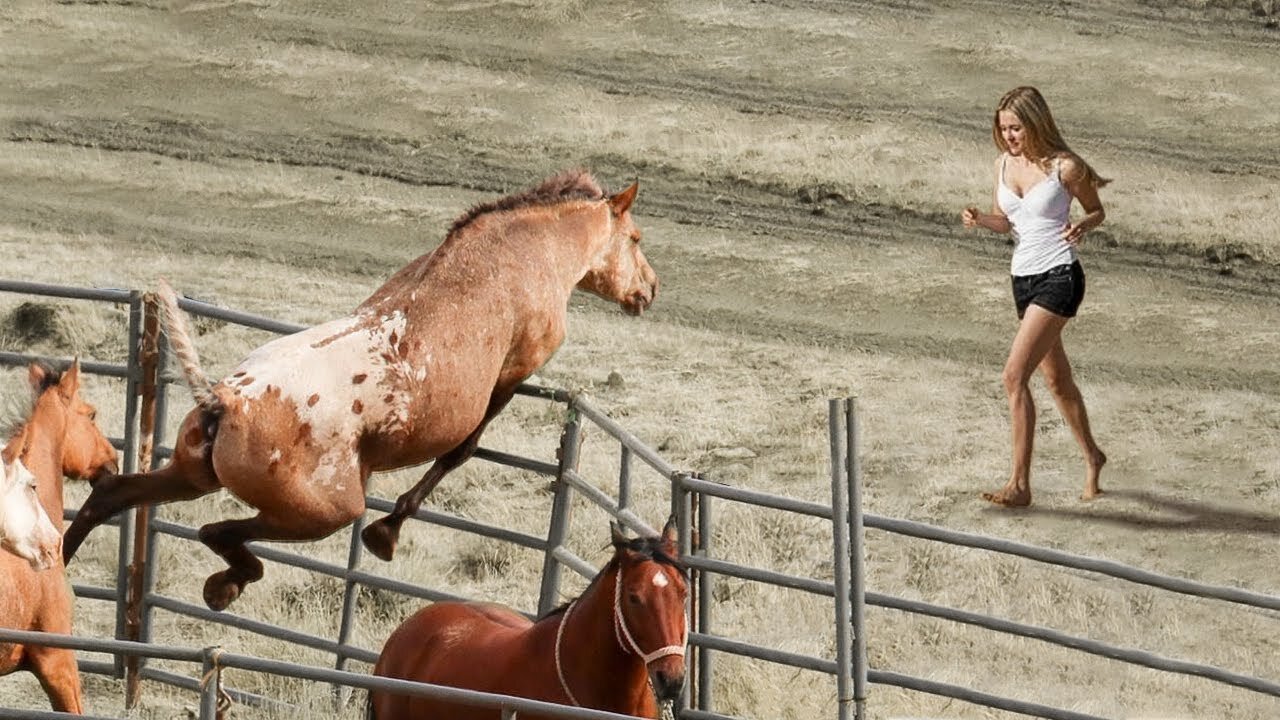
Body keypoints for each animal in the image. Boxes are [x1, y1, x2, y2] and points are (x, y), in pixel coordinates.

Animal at [62, 169, 660, 609]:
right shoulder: (515, 372)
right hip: (325, 510)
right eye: (634, 239)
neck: (520, 253)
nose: (650, 289)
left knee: (112, 496)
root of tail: (225, 401)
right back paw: (225, 584)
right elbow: (459, 452)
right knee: (219, 533)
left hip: (191, 476)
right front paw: (387, 533)